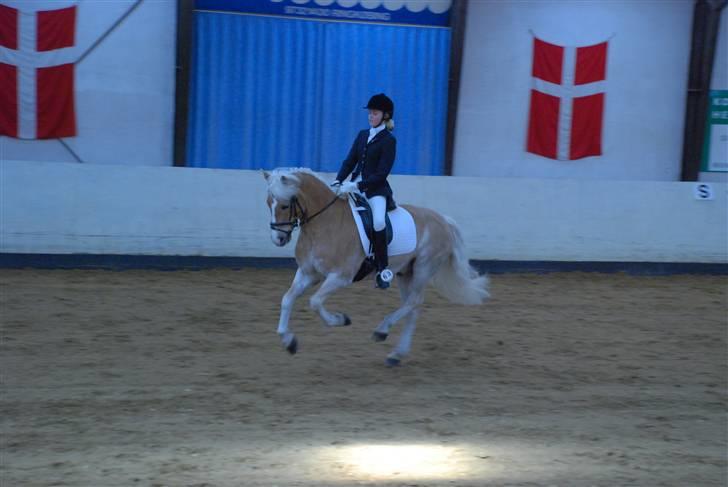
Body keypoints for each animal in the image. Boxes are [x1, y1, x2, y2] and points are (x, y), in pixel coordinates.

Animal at [262, 168, 490, 366]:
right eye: (268, 203)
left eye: (284, 205)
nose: (278, 239)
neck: (324, 223)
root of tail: (443, 220)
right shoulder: (308, 273)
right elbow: (287, 299)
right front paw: (289, 342)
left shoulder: (340, 276)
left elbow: (315, 301)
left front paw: (341, 319)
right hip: (406, 273)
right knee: (412, 308)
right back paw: (396, 355)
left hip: (423, 268)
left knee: (414, 302)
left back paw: (382, 331)